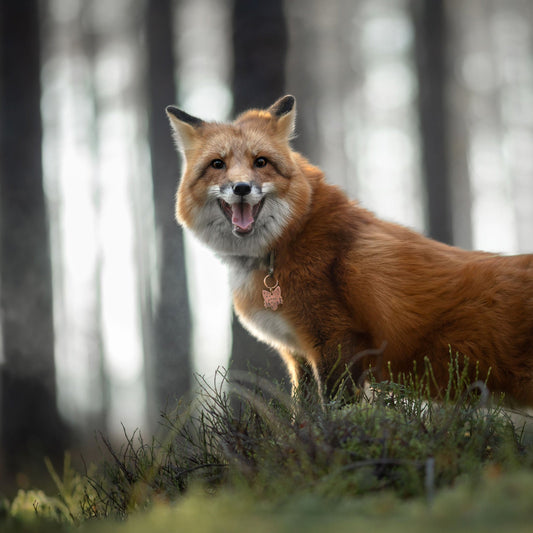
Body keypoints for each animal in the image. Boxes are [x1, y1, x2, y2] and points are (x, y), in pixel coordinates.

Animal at [166, 94, 532, 404]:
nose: (242, 188)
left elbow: (334, 418)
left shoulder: (337, 343)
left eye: (261, 162)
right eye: (217, 164)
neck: (290, 238)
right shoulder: (300, 355)